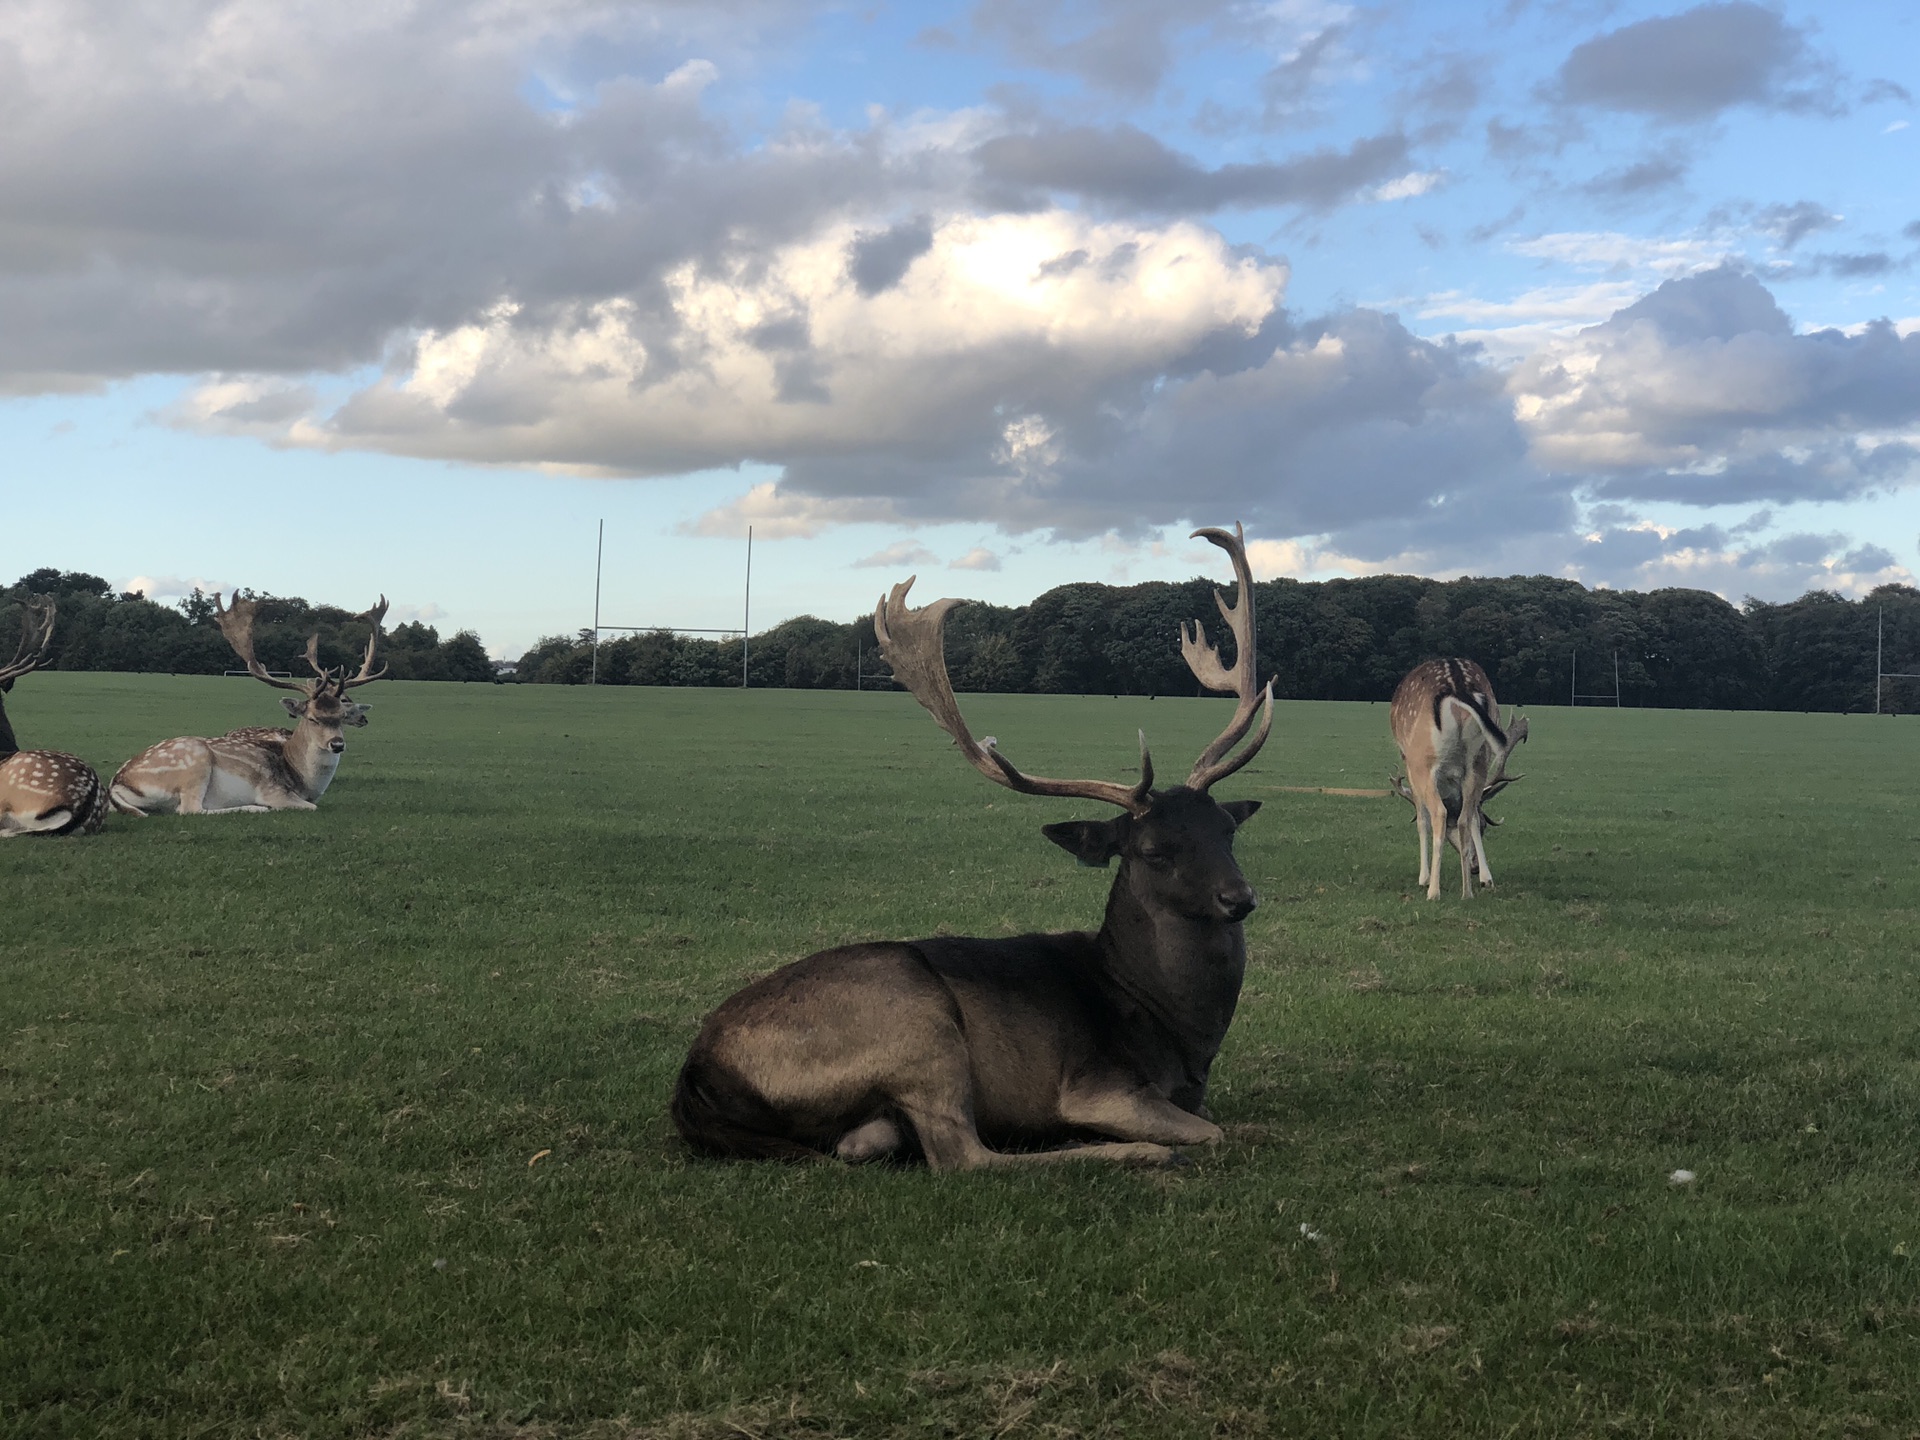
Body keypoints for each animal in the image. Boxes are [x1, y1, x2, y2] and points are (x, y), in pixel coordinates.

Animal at [110, 595, 387, 817]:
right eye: (312, 718)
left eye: (341, 715)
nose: (337, 744)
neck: (302, 780)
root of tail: (117, 783)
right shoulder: (274, 789)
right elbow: (311, 806)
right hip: (194, 763)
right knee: (190, 809)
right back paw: (254, 808)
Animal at [675, 526, 1274, 1175]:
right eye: (1152, 850)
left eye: (1226, 829)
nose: (1238, 897)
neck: (1179, 1036)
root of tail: (693, 1079)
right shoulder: (1100, 1083)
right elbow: (1215, 1131)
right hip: (916, 1023)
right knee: (961, 1154)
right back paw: (1125, 1150)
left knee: (875, 1144)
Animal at [1397, 656, 1528, 902]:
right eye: (1486, 826)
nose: (1474, 868)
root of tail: (1457, 688)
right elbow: (1473, 817)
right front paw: (1486, 878)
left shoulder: (1408, 763)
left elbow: (1422, 819)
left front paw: (1424, 878)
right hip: (1479, 758)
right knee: (1466, 817)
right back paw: (1467, 892)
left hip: (1422, 761)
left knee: (1438, 812)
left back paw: (1433, 891)